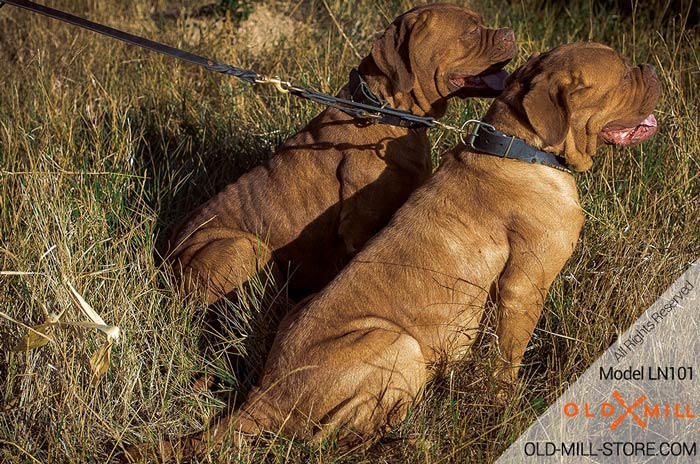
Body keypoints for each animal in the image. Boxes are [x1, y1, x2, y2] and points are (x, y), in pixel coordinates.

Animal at [167, 5, 516, 306]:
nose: (511, 32)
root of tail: (167, 259)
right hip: (240, 247)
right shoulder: (361, 230)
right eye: (471, 30)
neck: (384, 111)